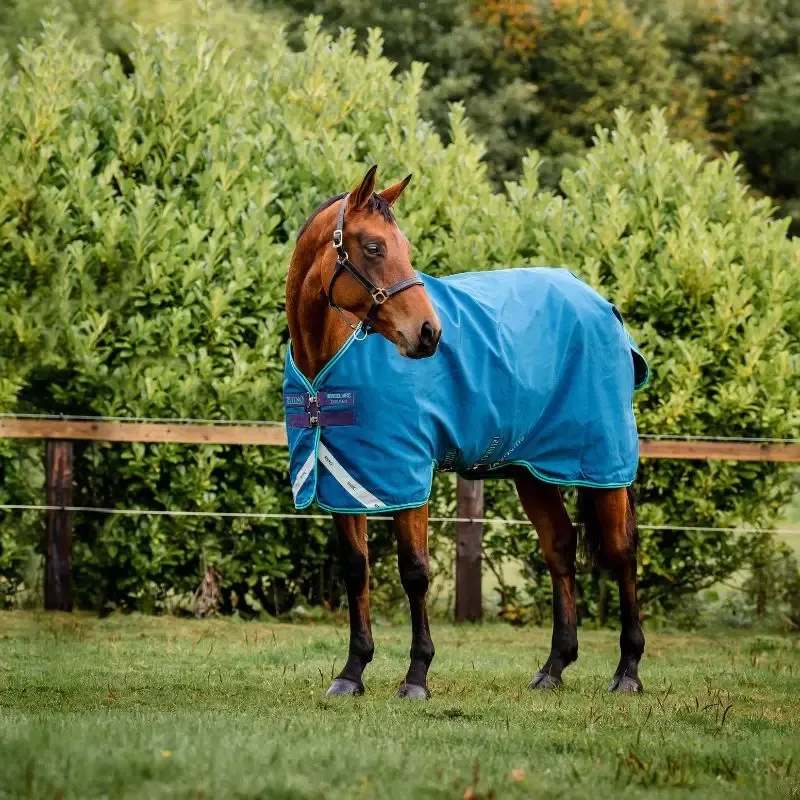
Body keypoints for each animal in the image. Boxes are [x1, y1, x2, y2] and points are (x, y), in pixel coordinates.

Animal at [284, 165, 646, 698]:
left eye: (405, 246)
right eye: (373, 246)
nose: (429, 333)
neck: (328, 356)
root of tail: (601, 304)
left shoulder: (407, 476)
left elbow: (414, 571)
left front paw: (416, 676)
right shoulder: (345, 479)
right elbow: (356, 569)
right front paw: (352, 672)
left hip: (605, 464)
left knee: (621, 552)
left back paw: (628, 671)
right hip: (531, 473)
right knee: (560, 549)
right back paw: (554, 666)